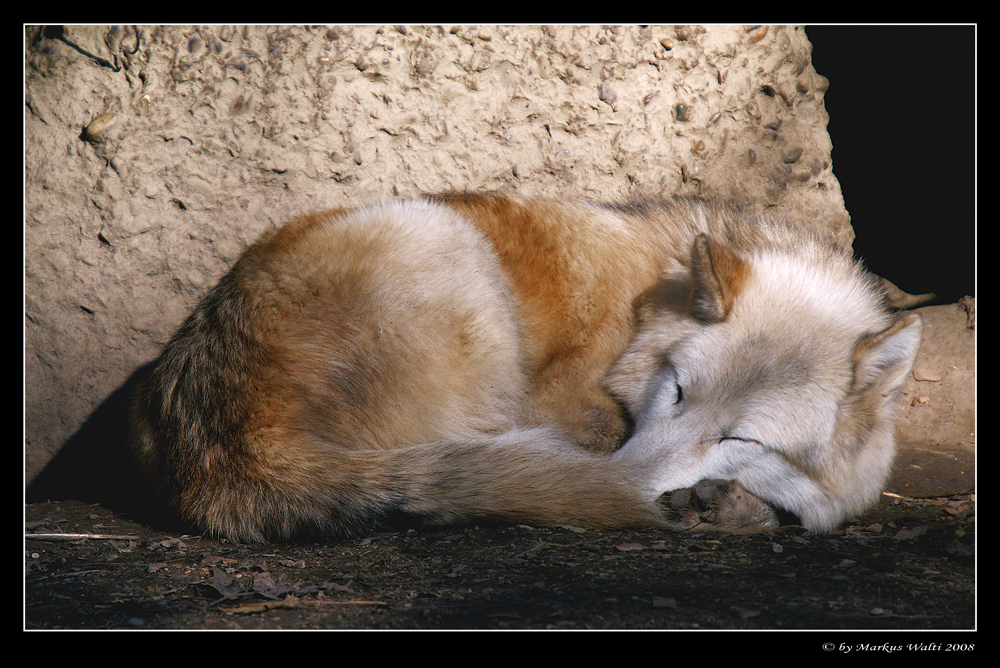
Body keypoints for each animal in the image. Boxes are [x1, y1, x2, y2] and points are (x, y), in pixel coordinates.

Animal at [127, 193, 920, 544]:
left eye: (741, 438)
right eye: (676, 392)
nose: (631, 480)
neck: (642, 306)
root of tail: (231, 446)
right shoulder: (560, 404)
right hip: (442, 242)